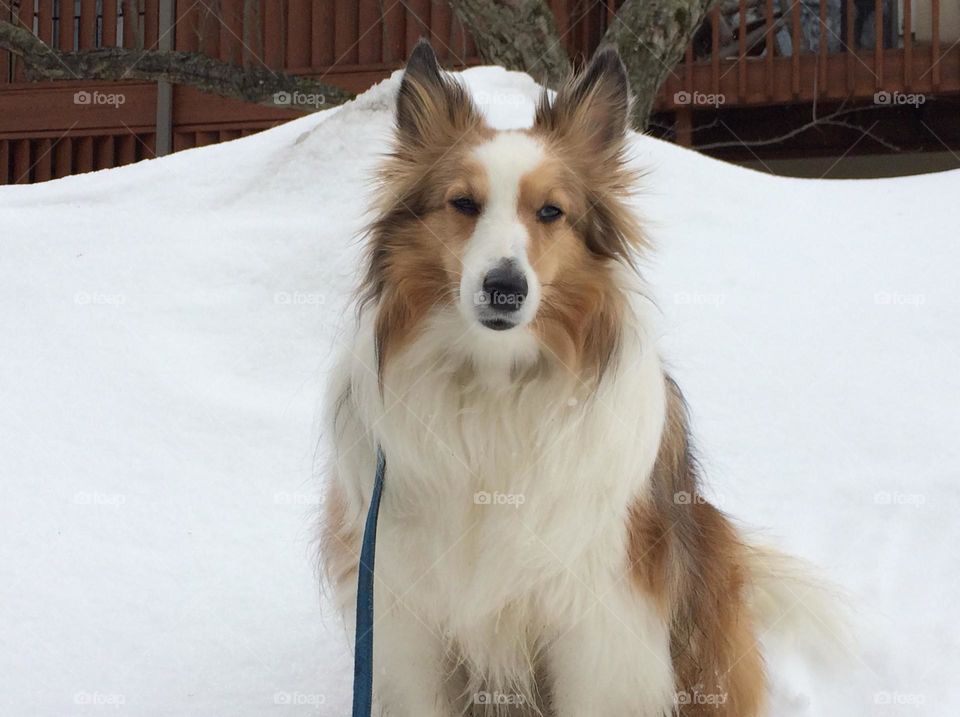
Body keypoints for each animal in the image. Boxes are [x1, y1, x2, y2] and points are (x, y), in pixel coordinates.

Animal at [320, 40, 840, 716]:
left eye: (551, 212)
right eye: (463, 204)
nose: (505, 288)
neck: (496, 383)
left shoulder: (598, 625)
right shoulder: (408, 620)